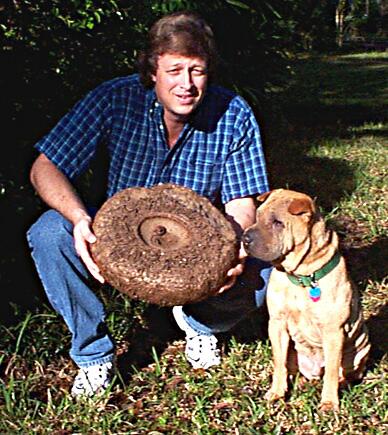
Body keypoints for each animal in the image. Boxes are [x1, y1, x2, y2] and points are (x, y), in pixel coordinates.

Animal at [242, 189, 370, 410]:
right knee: (293, 369)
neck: (301, 277)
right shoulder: (277, 323)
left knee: (344, 372)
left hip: (360, 347)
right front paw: (276, 393)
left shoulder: (333, 331)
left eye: (278, 222)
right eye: (257, 216)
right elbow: (279, 363)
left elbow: (332, 372)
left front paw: (329, 404)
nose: (245, 238)